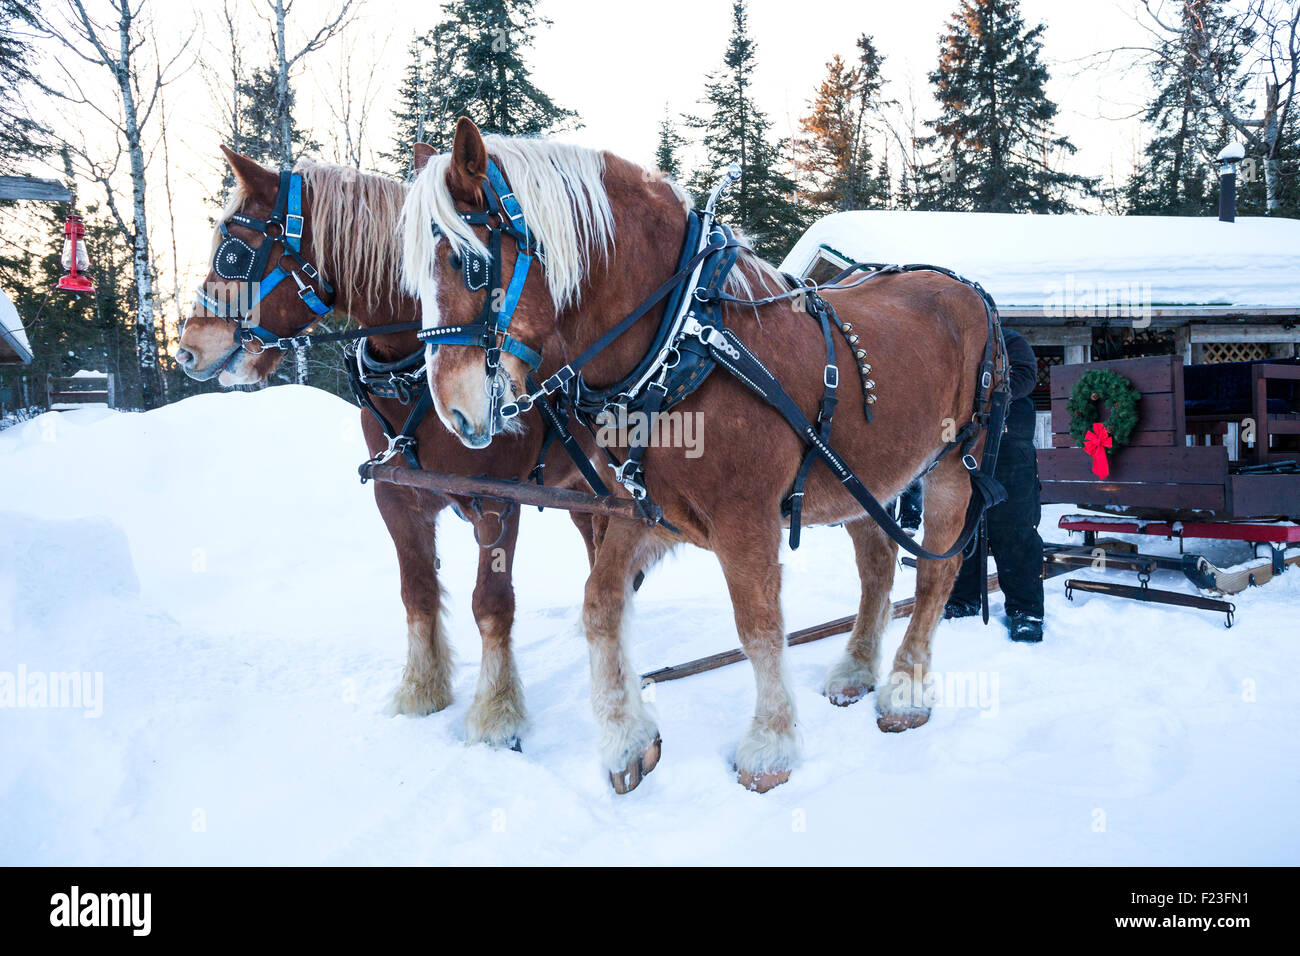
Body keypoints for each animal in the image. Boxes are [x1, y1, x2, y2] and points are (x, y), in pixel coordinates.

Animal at [177, 147, 601, 752]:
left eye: (234, 250)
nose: (187, 350)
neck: (413, 377)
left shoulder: (497, 501)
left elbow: (492, 603)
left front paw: (497, 715)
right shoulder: (396, 496)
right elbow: (417, 593)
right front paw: (421, 691)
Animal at [400, 118, 1005, 794]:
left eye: (472, 264)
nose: (455, 412)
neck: (681, 336)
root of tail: (969, 291)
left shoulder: (747, 520)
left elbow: (759, 627)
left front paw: (770, 747)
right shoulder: (644, 509)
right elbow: (600, 603)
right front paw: (627, 740)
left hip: (953, 467)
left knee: (934, 574)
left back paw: (905, 689)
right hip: (863, 482)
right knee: (877, 566)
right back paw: (855, 669)